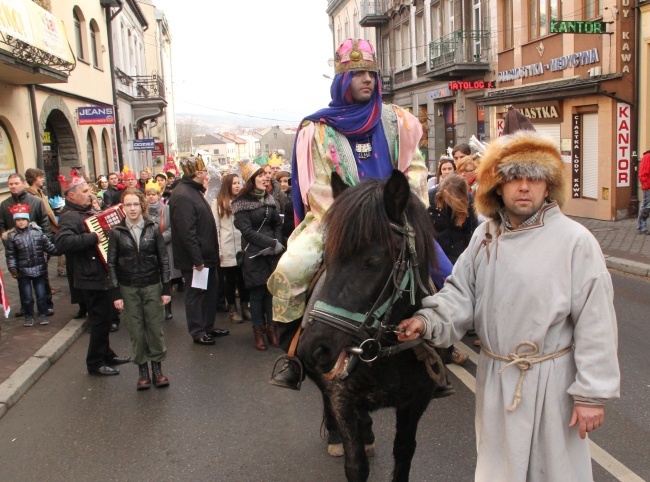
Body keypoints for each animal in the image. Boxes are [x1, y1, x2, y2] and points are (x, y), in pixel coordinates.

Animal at [294, 170, 442, 482]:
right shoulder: (342, 398)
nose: (313, 347)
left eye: (372, 261)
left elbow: (404, 453)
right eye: (327, 256)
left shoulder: (416, 401)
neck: (387, 350)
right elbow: (356, 465)